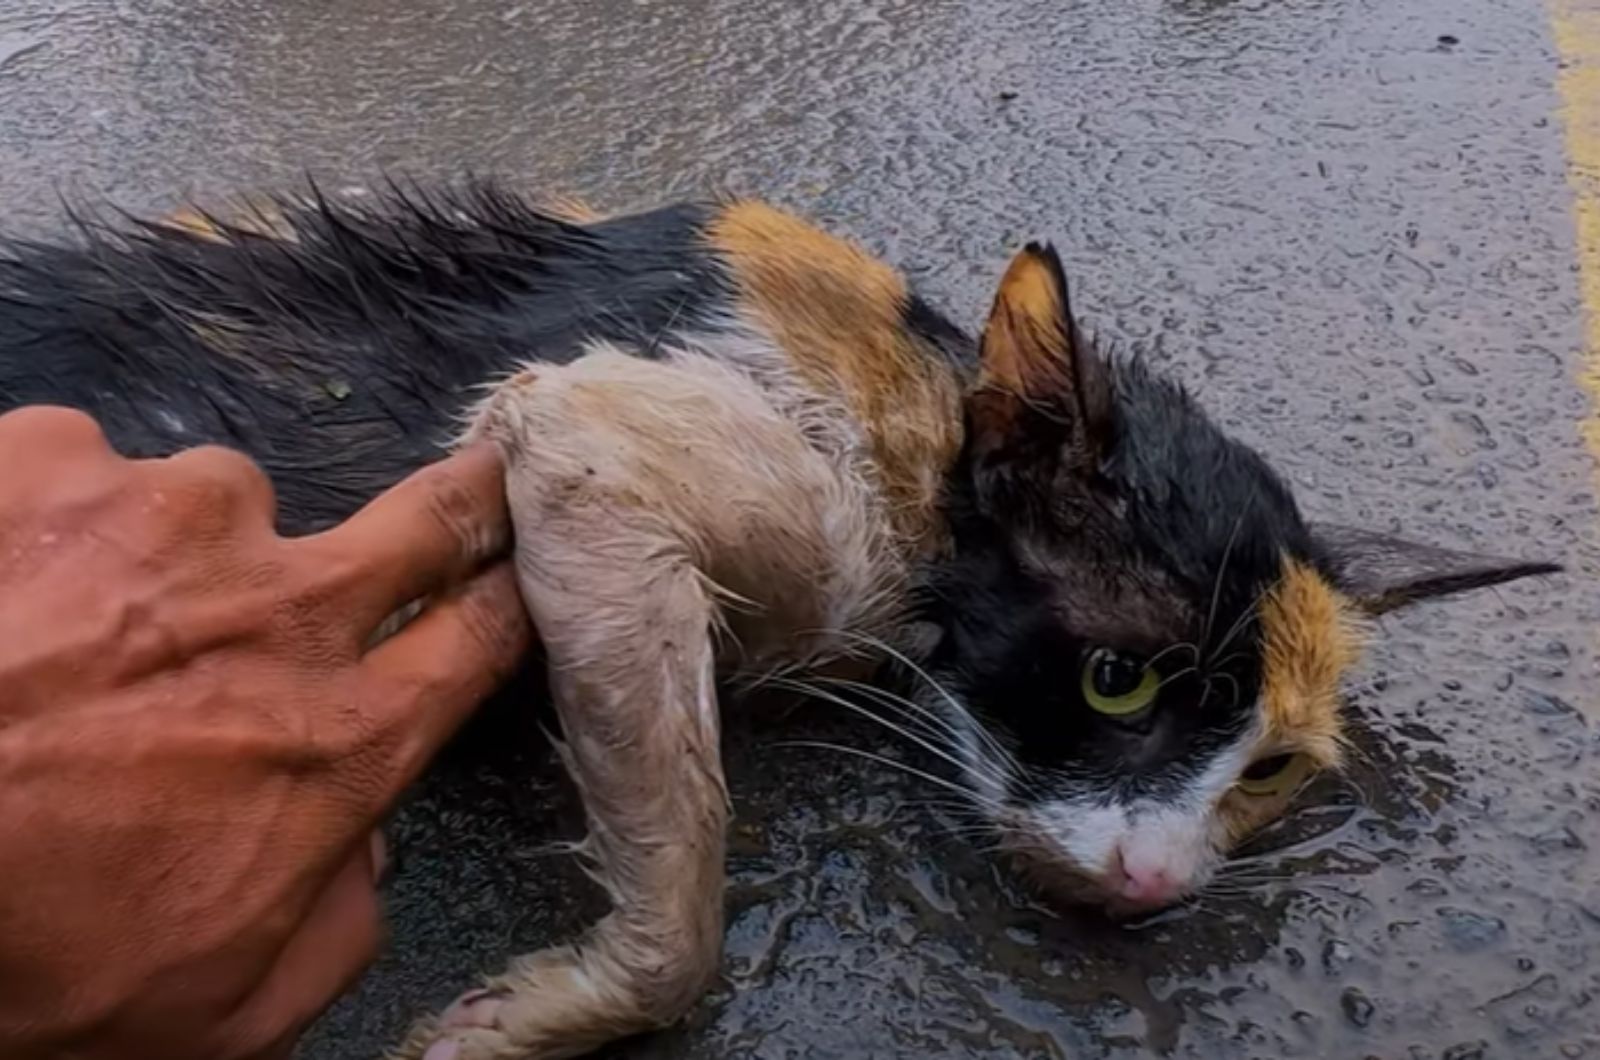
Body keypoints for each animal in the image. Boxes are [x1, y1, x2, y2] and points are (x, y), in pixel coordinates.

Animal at [0, 182, 1555, 1060]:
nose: (1157, 887)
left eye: (1270, 771)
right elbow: (685, 896)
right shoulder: (582, 440)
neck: (918, 427)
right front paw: (547, 1016)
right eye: (1117, 681)